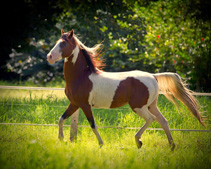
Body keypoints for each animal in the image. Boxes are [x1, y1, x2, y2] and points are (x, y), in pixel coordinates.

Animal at [46, 29, 204, 151]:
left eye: (63, 43)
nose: (49, 57)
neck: (81, 77)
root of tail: (153, 76)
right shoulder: (74, 103)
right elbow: (61, 118)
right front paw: (61, 139)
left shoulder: (85, 105)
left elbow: (92, 124)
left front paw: (101, 144)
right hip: (151, 105)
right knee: (163, 121)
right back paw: (171, 146)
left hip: (138, 107)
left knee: (151, 119)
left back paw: (138, 141)